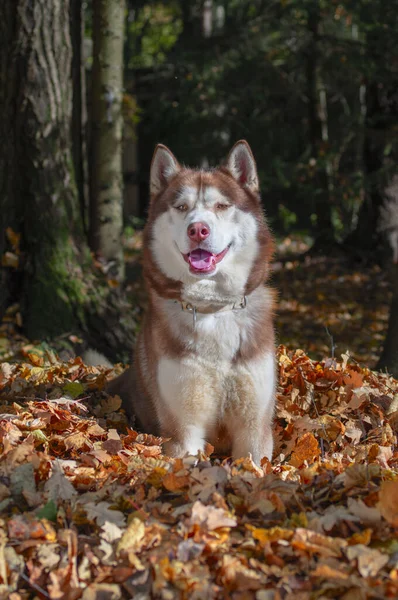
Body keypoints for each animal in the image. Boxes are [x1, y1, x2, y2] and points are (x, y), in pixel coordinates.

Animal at [105, 141, 276, 464]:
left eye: (221, 206)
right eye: (181, 207)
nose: (198, 229)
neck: (212, 309)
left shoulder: (254, 428)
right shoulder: (183, 429)